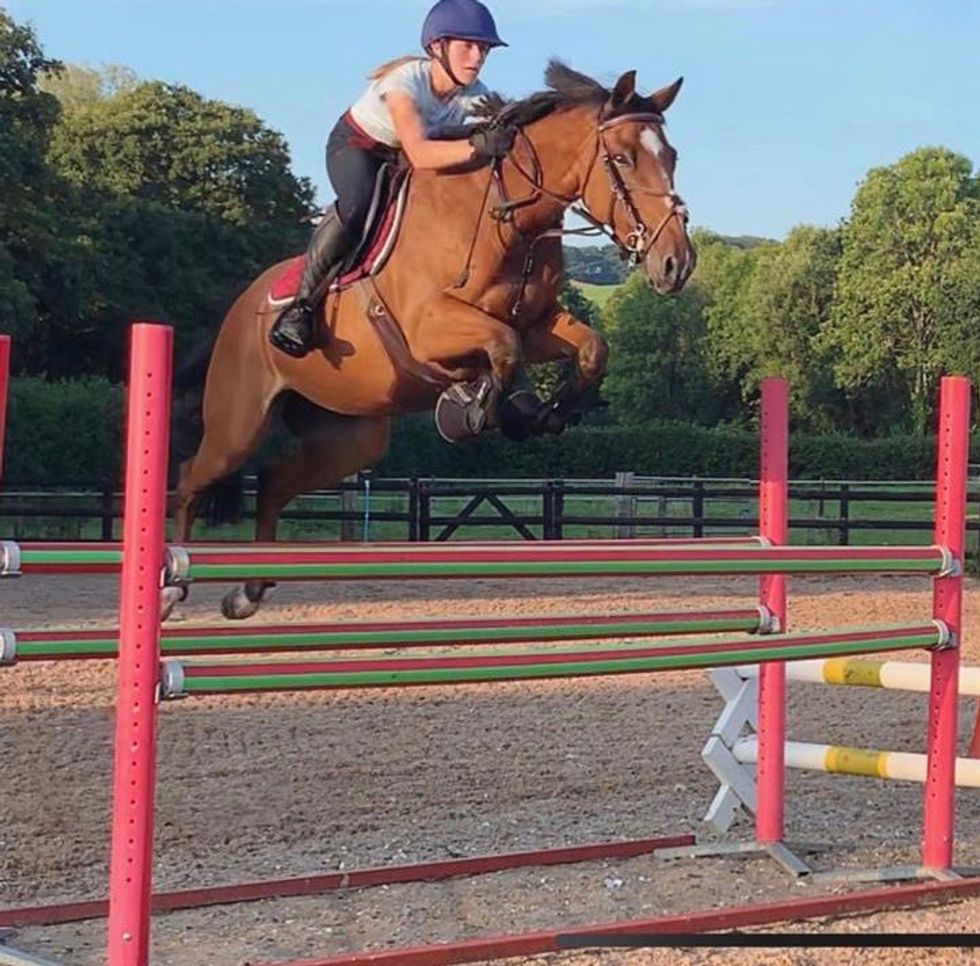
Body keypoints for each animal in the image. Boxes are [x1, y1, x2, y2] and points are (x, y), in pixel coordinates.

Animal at [171, 61, 696, 619]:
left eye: (672, 157)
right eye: (622, 158)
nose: (677, 263)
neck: (505, 220)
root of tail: (237, 306)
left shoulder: (537, 324)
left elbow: (590, 347)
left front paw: (539, 415)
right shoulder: (430, 327)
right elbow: (502, 346)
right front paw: (476, 411)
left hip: (348, 438)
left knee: (271, 483)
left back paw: (247, 592)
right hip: (238, 423)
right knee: (189, 478)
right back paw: (173, 586)